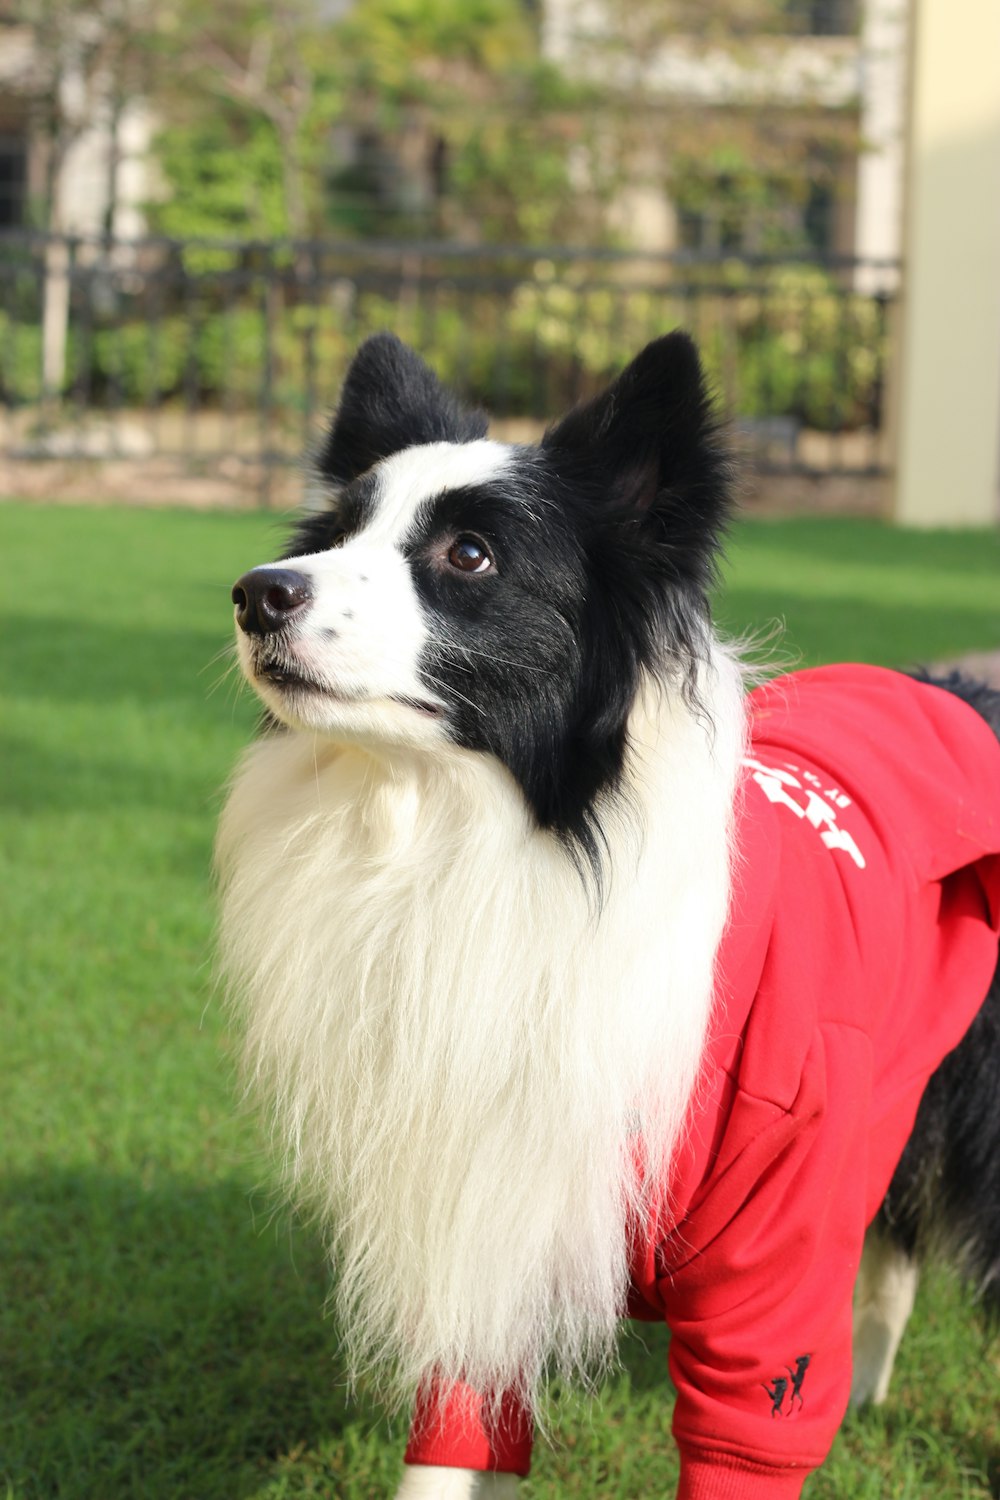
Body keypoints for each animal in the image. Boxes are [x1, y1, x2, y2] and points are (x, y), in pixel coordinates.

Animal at [217, 331, 1000, 1500]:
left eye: (469, 555)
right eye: (336, 533)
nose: (257, 593)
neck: (495, 848)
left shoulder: (773, 1258)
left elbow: (746, 1430)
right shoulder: (484, 1222)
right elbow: (455, 1427)